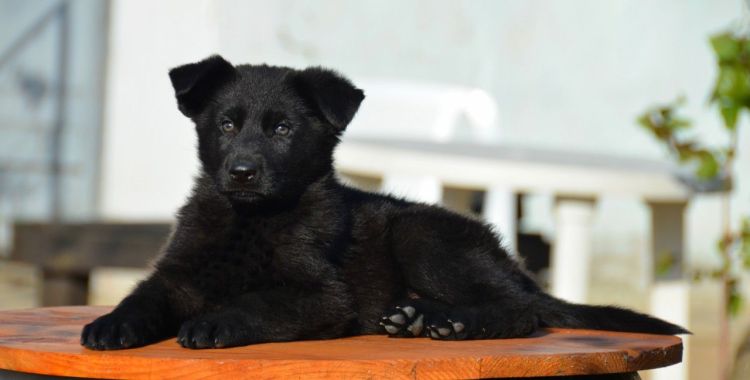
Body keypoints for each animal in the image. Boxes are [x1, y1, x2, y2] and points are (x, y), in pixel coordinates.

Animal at [81, 56, 688, 350]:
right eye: (226, 125)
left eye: (282, 129)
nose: (243, 172)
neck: (251, 220)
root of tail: (508, 261)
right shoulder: (179, 274)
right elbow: (142, 296)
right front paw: (112, 324)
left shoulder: (323, 295)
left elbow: (258, 300)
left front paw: (216, 322)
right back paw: (417, 317)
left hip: (424, 237)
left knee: (520, 310)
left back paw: (451, 322)